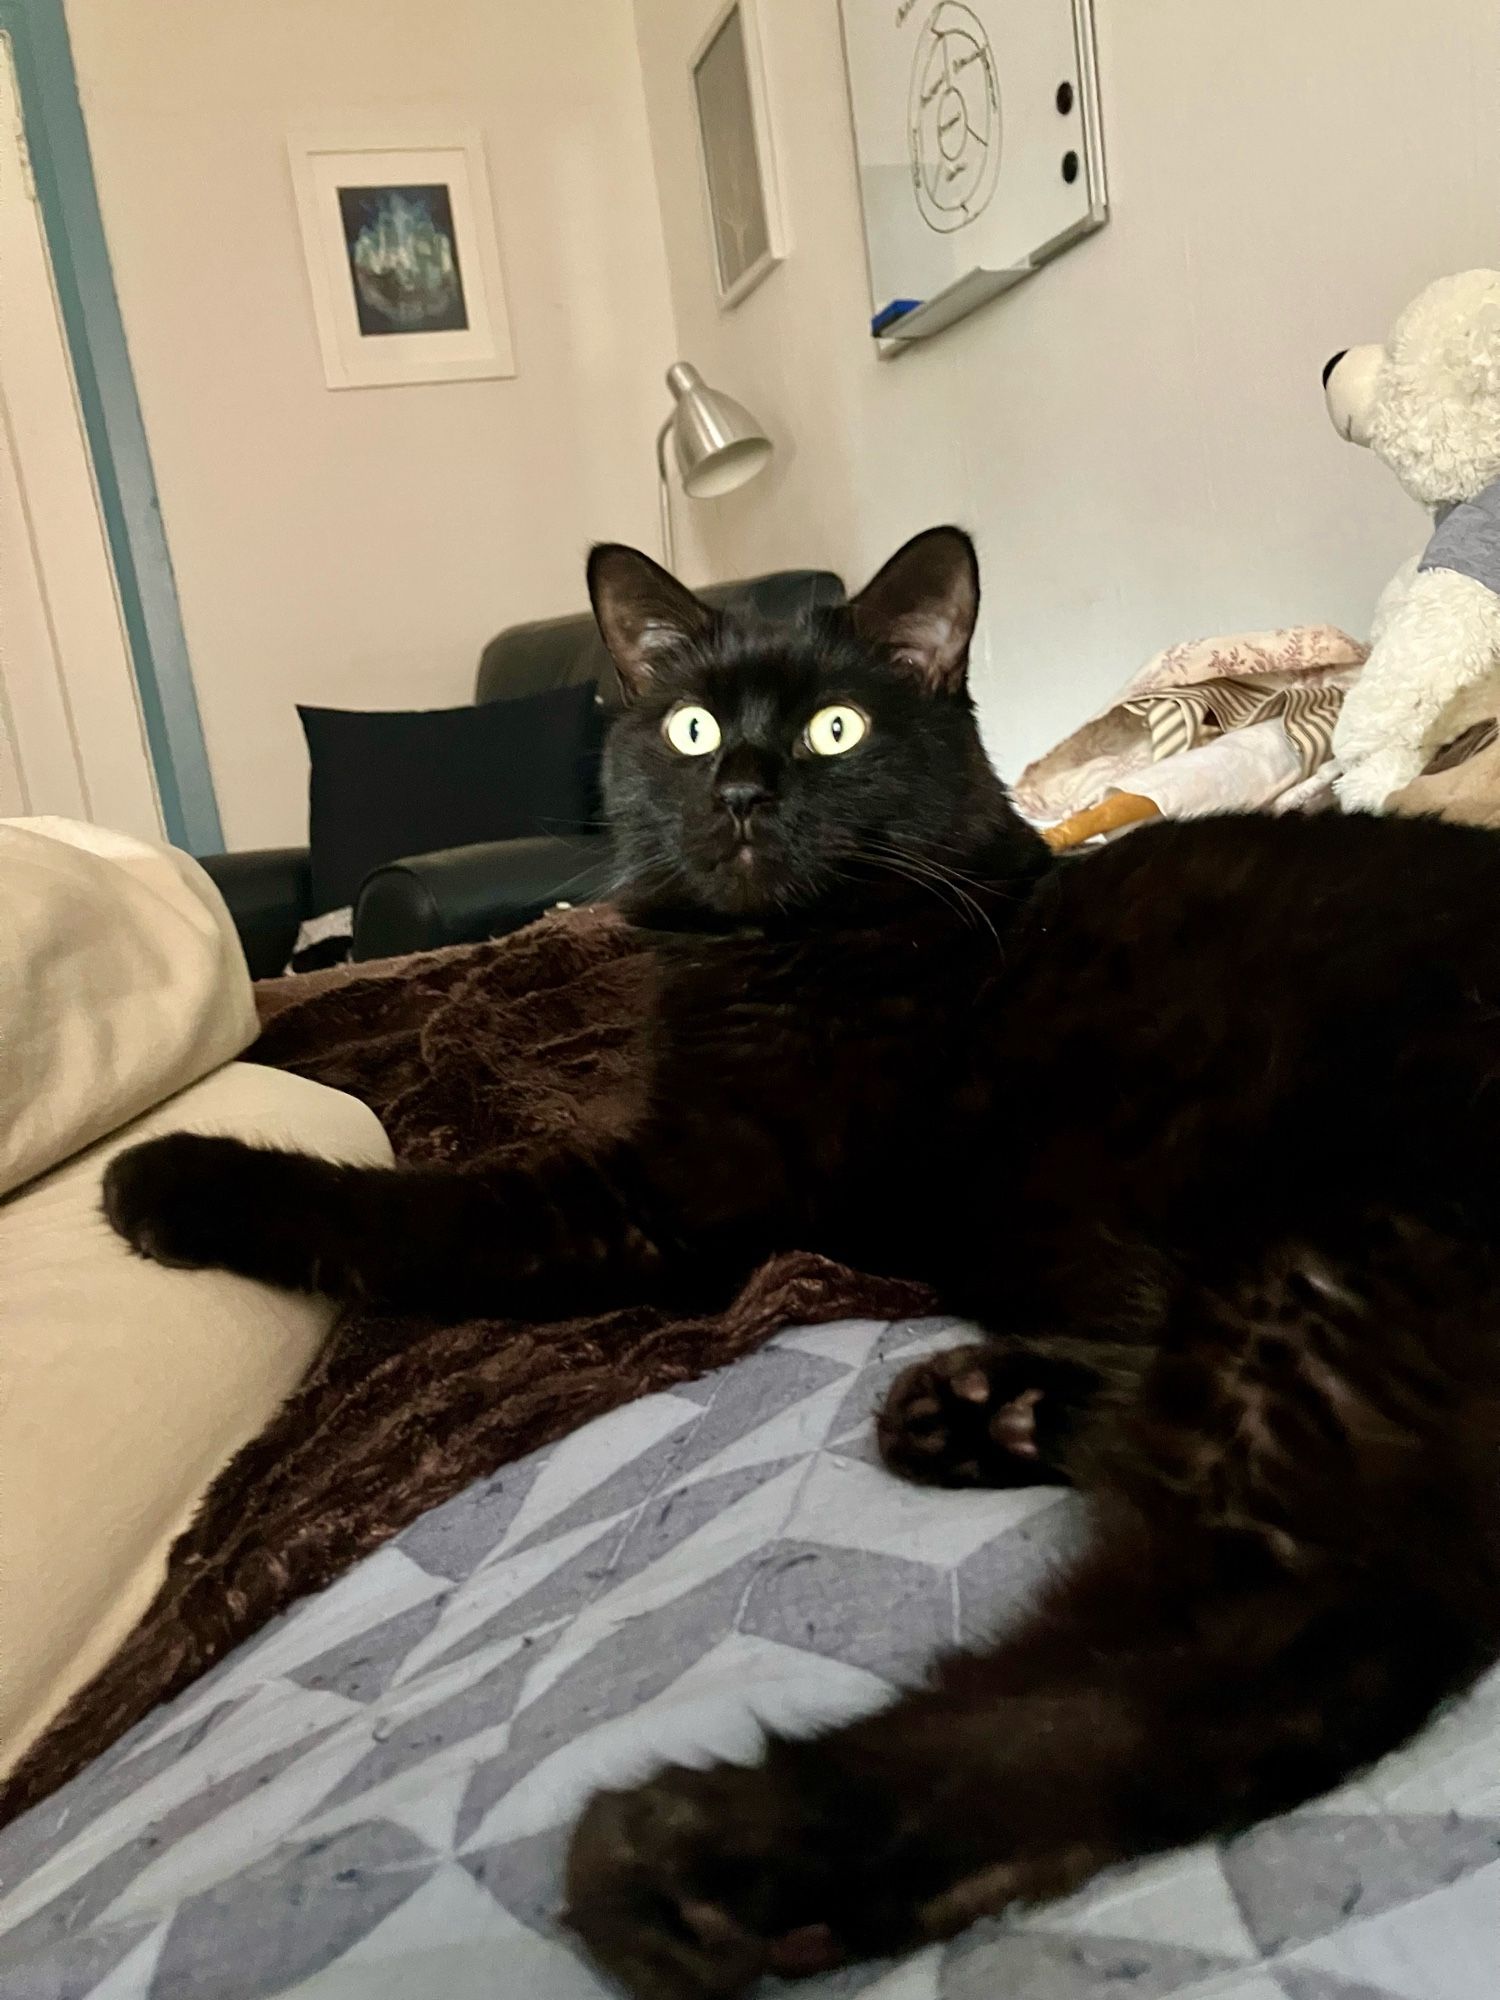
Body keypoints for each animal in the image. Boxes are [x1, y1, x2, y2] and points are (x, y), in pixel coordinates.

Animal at [106, 532, 1500, 2000]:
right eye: (691, 726)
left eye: (837, 730)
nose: (741, 789)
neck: (776, 948)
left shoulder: (661, 1200)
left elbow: (423, 1205)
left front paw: (169, 1172)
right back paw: (983, 1411)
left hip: (1331, 1269)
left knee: (1269, 1639)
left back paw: (707, 1866)